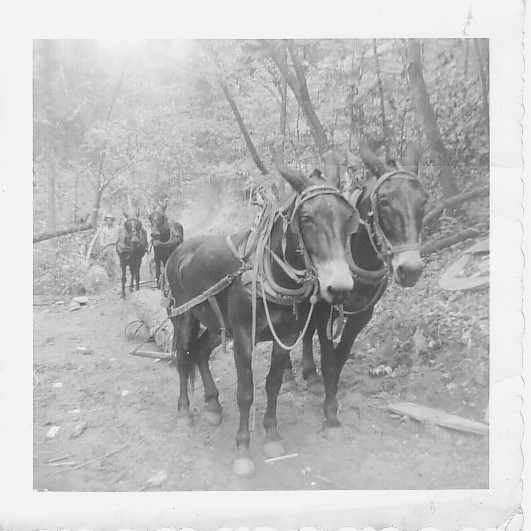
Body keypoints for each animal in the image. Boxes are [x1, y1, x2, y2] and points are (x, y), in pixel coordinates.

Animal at [164, 153, 360, 477]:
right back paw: (183, 412)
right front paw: (243, 449)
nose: (340, 287)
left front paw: (271, 435)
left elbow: (273, 384)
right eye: (307, 218)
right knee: (182, 357)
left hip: (217, 326)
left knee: (201, 352)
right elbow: (246, 391)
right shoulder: (243, 338)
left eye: (348, 218)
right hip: (184, 315)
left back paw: (213, 405)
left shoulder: (286, 337)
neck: (272, 274)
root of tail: (179, 251)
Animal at [285, 139, 428, 437]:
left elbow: (339, 359)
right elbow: (329, 358)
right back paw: (290, 375)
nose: (410, 269)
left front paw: (331, 399)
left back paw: (310, 374)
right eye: (384, 202)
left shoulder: (363, 315)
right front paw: (330, 414)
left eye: (424, 201)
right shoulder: (326, 311)